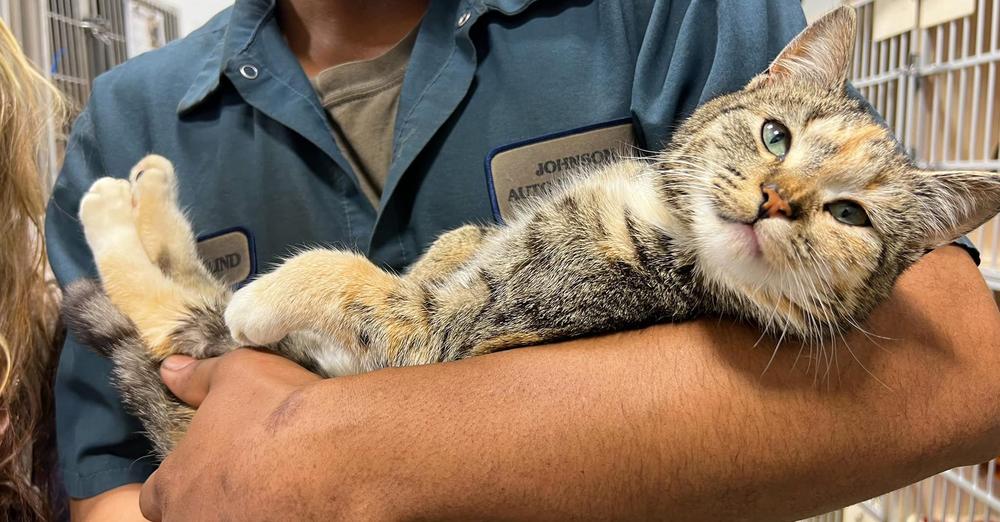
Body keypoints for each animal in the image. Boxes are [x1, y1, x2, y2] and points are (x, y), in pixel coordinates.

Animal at [60, 6, 1000, 458]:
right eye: (777, 136)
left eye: (850, 215)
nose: (777, 199)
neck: (658, 216)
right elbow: (454, 243)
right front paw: (443, 247)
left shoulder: (441, 332)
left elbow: (363, 284)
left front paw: (272, 294)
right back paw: (143, 186)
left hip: (193, 350)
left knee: (167, 313)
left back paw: (117, 210)